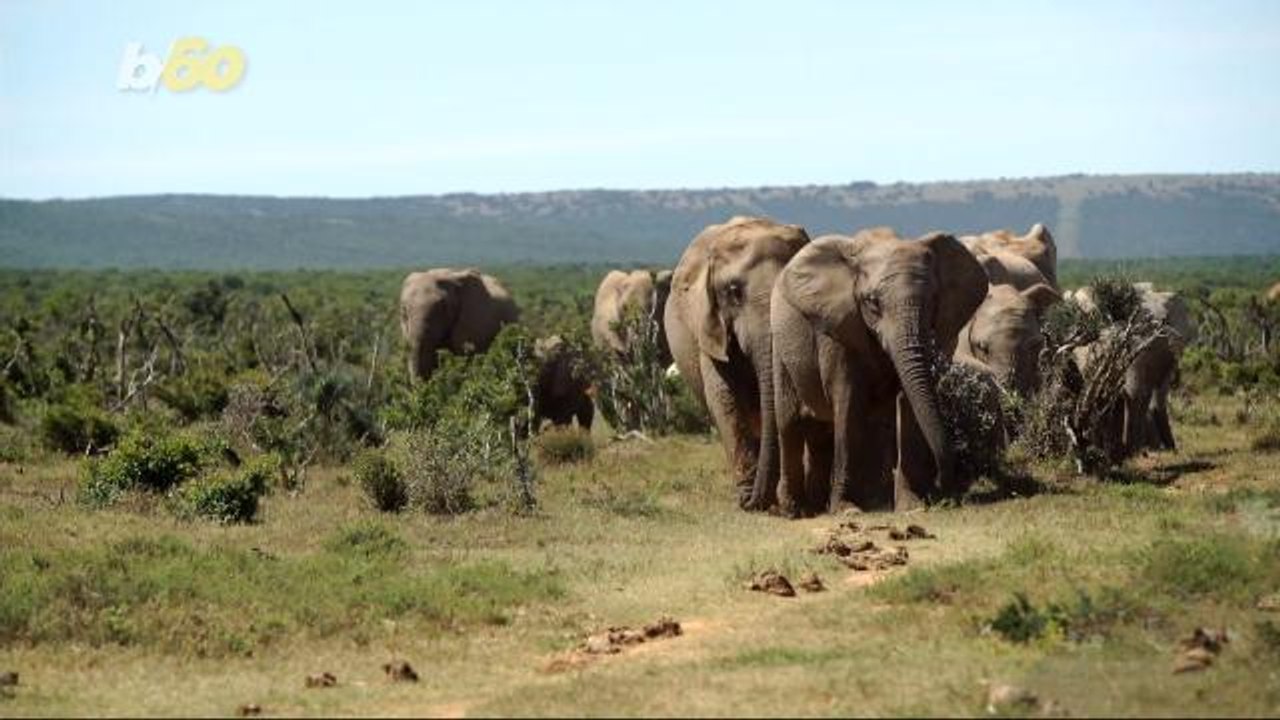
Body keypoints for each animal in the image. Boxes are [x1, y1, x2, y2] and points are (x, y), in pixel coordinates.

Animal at [771, 228, 989, 515]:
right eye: (872, 302)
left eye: (934, 300)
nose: (945, 491)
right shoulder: (839, 326)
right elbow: (848, 402)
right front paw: (847, 510)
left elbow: (907, 403)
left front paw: (912, 507)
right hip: (779, 346)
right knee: (789, 424)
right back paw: (794, 510)